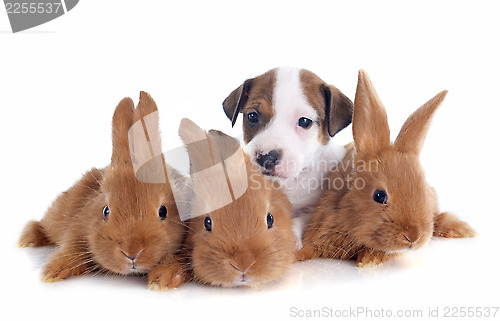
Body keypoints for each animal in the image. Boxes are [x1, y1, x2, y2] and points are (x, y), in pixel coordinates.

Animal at [19, 90, 188, 288]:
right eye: (106, 211)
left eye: (163, 211)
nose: (132, 253)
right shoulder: (78, 228)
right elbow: (70, 249)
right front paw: (52, 272)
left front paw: (161, 279)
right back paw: (27, 240)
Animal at [298, 70, 474, 268]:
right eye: (379, 196)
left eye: (423, 192)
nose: (414, 237)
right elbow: (308, 248)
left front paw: (369, 260)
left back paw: (462, 229)